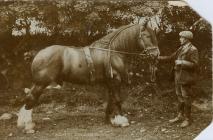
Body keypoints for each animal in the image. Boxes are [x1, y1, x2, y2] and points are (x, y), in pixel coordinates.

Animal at [23, 21, 160, 127]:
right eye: (147, 36)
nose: (156, 54)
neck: (113, 52)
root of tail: (38, 54)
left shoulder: (109, 82)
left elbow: (110, 100)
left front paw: (109, 119)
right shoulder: (115, 80)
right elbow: (117, 99)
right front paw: (121, 120)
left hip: (39, 83)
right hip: (41, 83)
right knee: (30, 98)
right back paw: (27, 126)